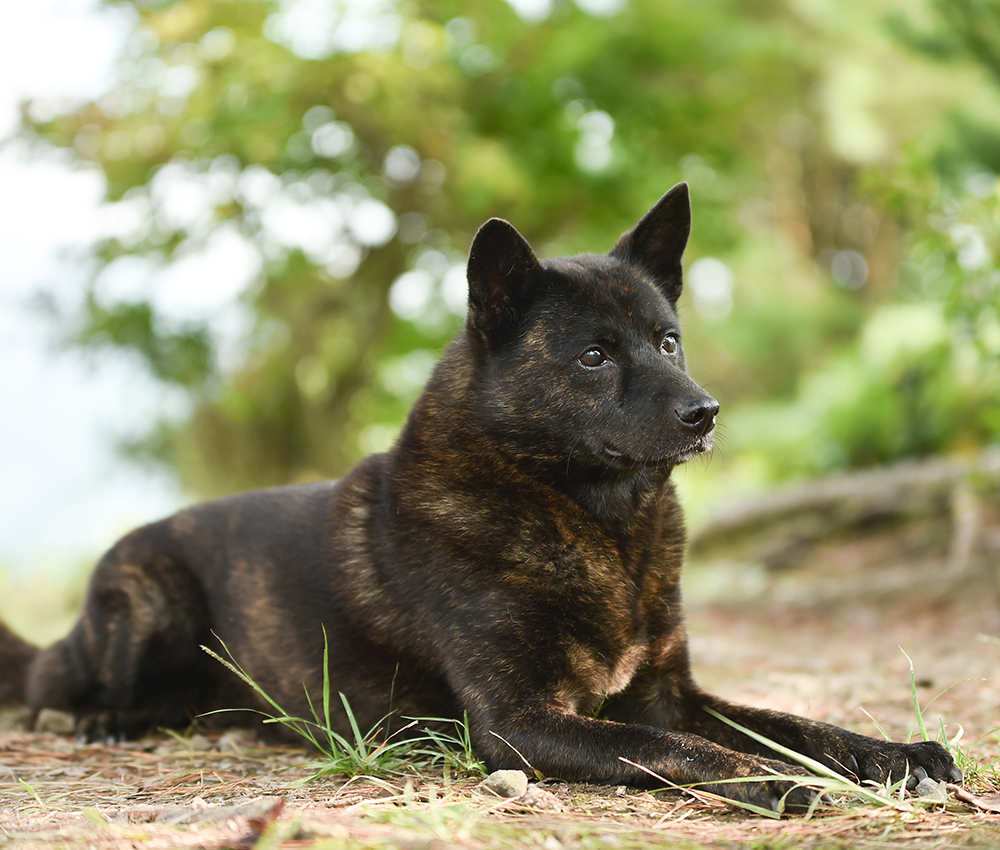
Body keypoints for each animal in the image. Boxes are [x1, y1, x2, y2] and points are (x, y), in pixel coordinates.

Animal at [0, 186, 960, 808]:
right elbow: (683, 751)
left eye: (668, 340)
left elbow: (793, 721)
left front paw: (897, 752)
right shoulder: (519, 724)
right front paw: (781, 783)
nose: (705, 413)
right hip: (148, 600)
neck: (600, 525)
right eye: (594, 357)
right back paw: (100, 719)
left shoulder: (668, 693)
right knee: (61, 687)